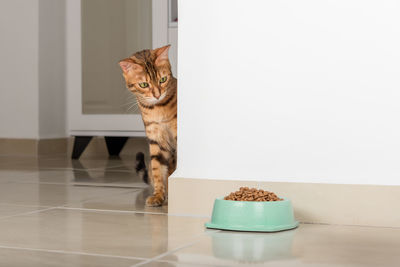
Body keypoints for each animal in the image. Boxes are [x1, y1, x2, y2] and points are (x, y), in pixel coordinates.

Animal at [118, 45, 176, 207]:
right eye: (144, 84)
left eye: (163, 79)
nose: (157, 95)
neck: (158, 109)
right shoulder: (156, 140)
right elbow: (158, 170)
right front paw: (158, 196)